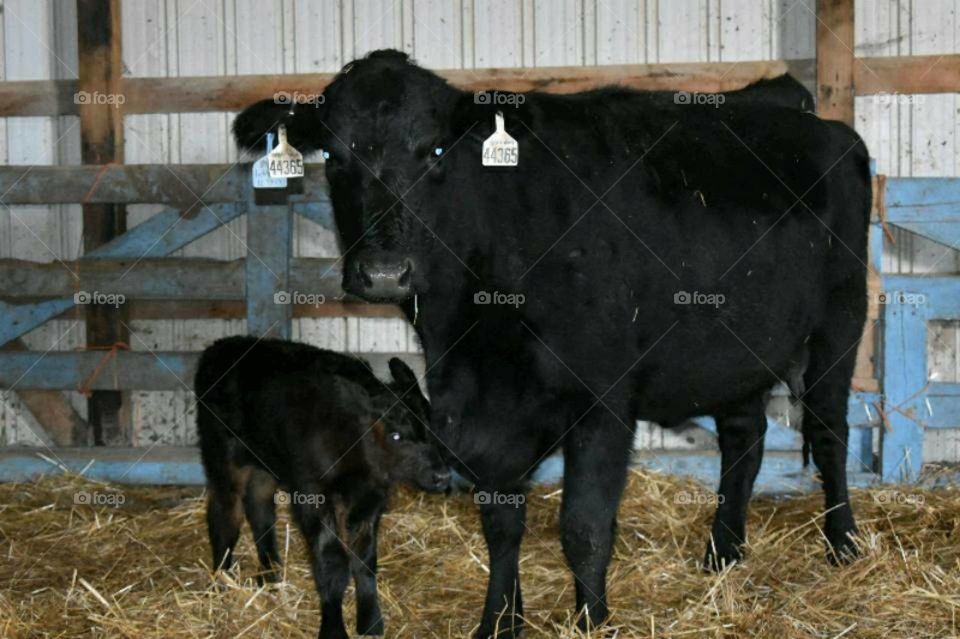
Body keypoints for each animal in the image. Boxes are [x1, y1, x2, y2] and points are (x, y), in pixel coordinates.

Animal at [195, 335, 450, 639]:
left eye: (431, 426)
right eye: (396, 435)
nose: (441, 475)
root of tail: (220, 346)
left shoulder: (369, 498)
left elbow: (364, 559)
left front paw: (371, 623)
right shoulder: (312, 494)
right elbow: (332, 561)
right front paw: (333, 628)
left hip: (264, 465)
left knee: (260, 510)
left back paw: (270, 578)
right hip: (222, 457)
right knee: (224, 515)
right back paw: (219, 584)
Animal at [233, 50, 870, 638]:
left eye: (435, 152)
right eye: (334, 157)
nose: (386, 272)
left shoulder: (604, 399)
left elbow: (584, 526)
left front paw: (592, 620)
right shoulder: (474, 408)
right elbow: (499, 523)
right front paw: (498, 622)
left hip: (841, 320)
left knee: (828, 432)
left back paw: (842, 544)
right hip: (733, 350)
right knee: (744, 438)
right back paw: (723, 553)